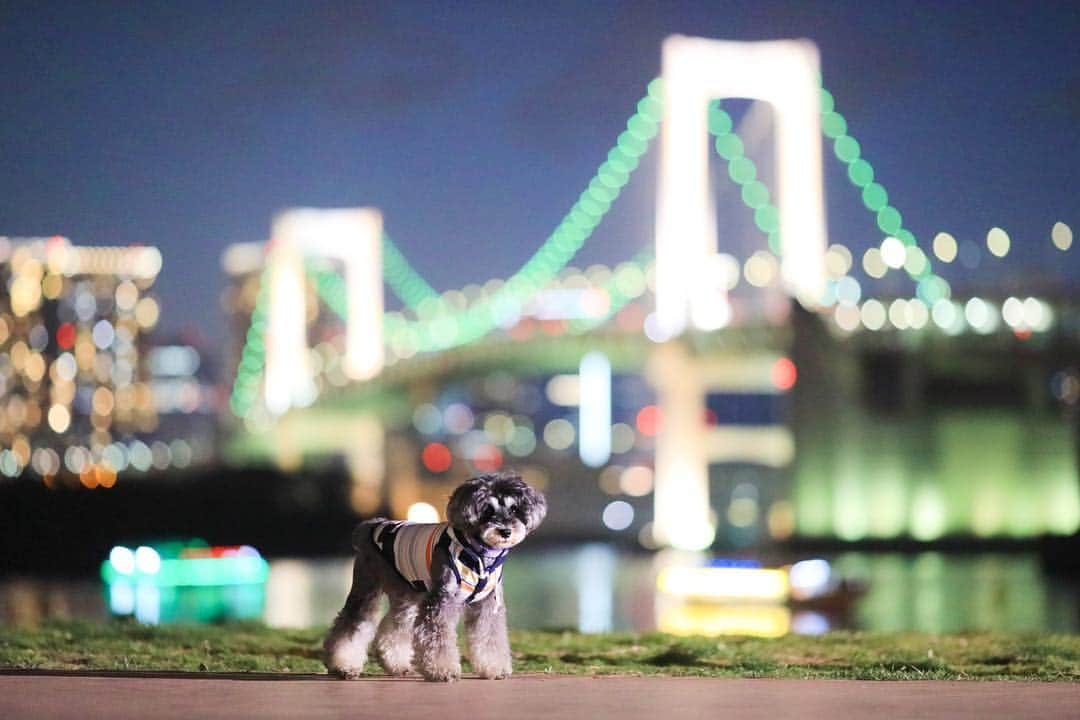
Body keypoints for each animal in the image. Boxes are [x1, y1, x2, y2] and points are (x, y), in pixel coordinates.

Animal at [317, 472, 540, 682]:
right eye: (487, 510)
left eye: (514, 509)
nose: (505, 531)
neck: (481, 555)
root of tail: (372, 526)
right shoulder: (442, 600)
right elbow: (437, 638)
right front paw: (443, 671)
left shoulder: (487, 605)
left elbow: (490, 638)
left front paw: (495, 669)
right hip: (367, 588)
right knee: (351, 624)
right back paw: (343, 666)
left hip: (408, 595)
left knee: (396, 625)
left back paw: (396, 664)